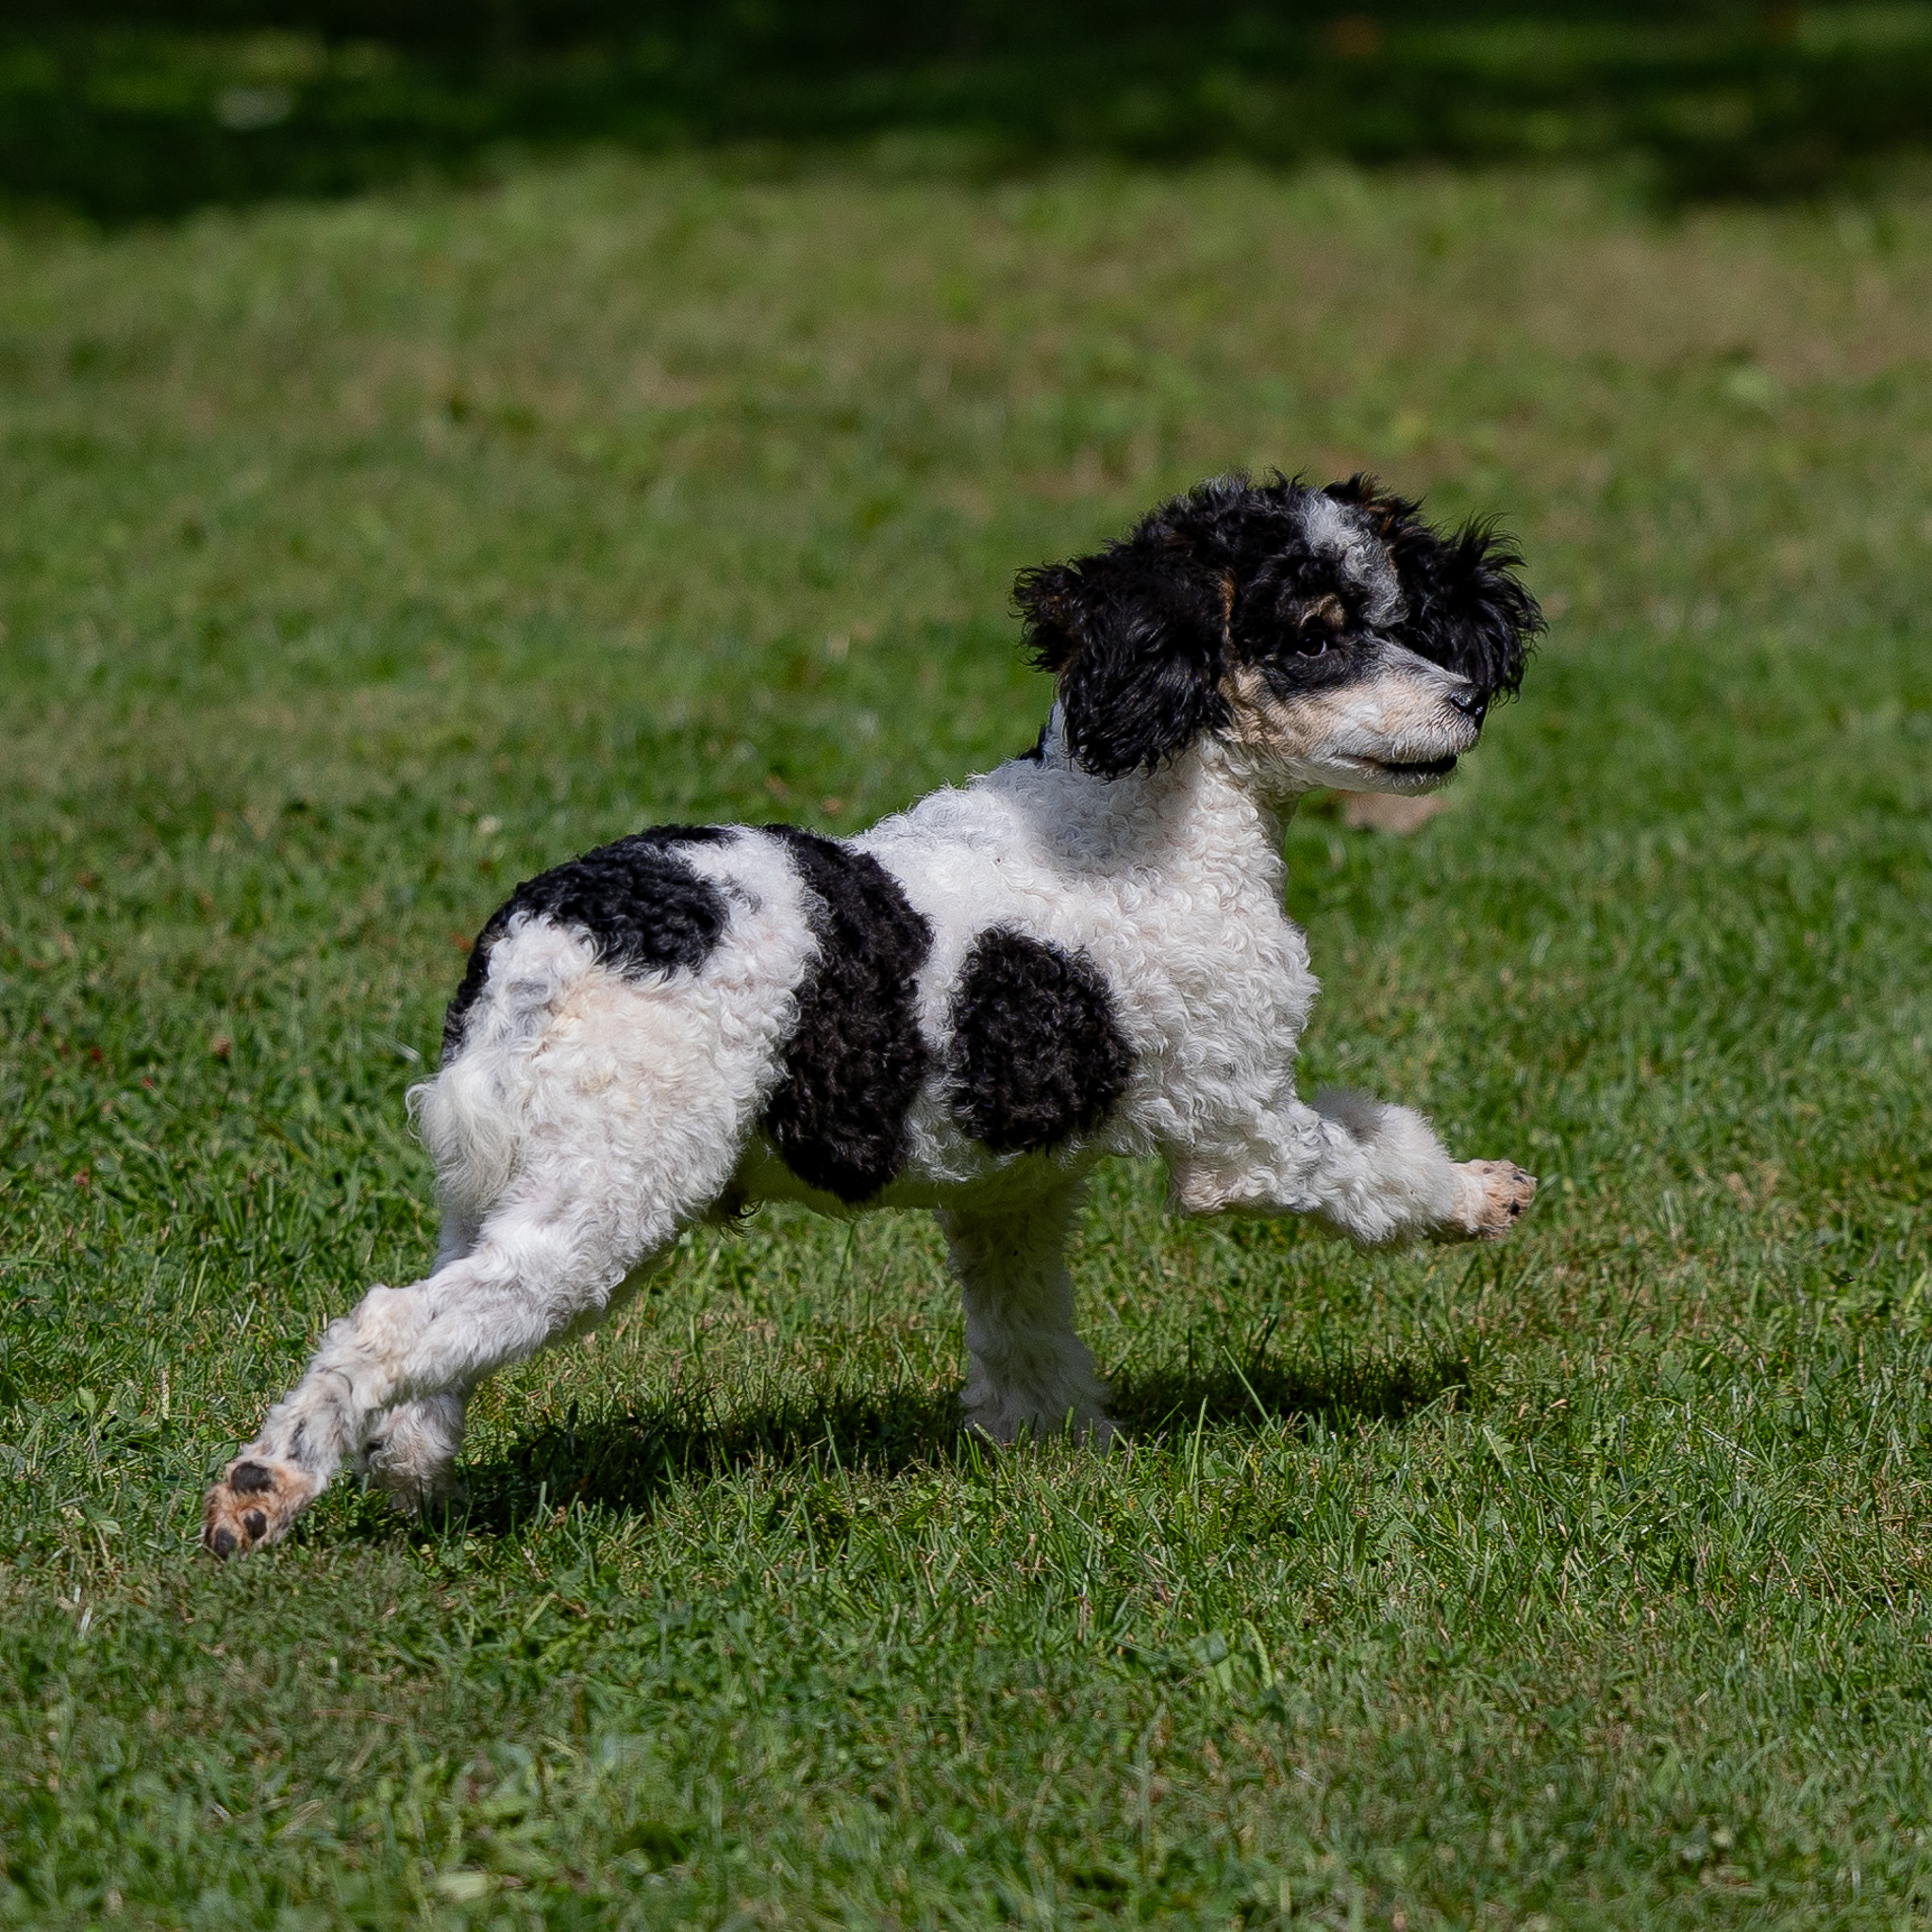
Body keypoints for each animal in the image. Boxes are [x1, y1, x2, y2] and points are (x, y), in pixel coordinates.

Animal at [204, 475, 1545, 1560]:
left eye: (1399, 612)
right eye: (1316, 635)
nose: (1467, 701)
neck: (1137, 813)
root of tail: (549, 936)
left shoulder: (1010, 1197)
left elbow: (1027, 1349)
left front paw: (1063, 1463)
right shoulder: (1240, 1126)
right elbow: (1371, 1162)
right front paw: (1475, 1195)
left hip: (500, 1187)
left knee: (431, 1341)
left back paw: (412, 1478)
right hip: (608, 1197)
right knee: (387, 1326)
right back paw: (263, 1488)